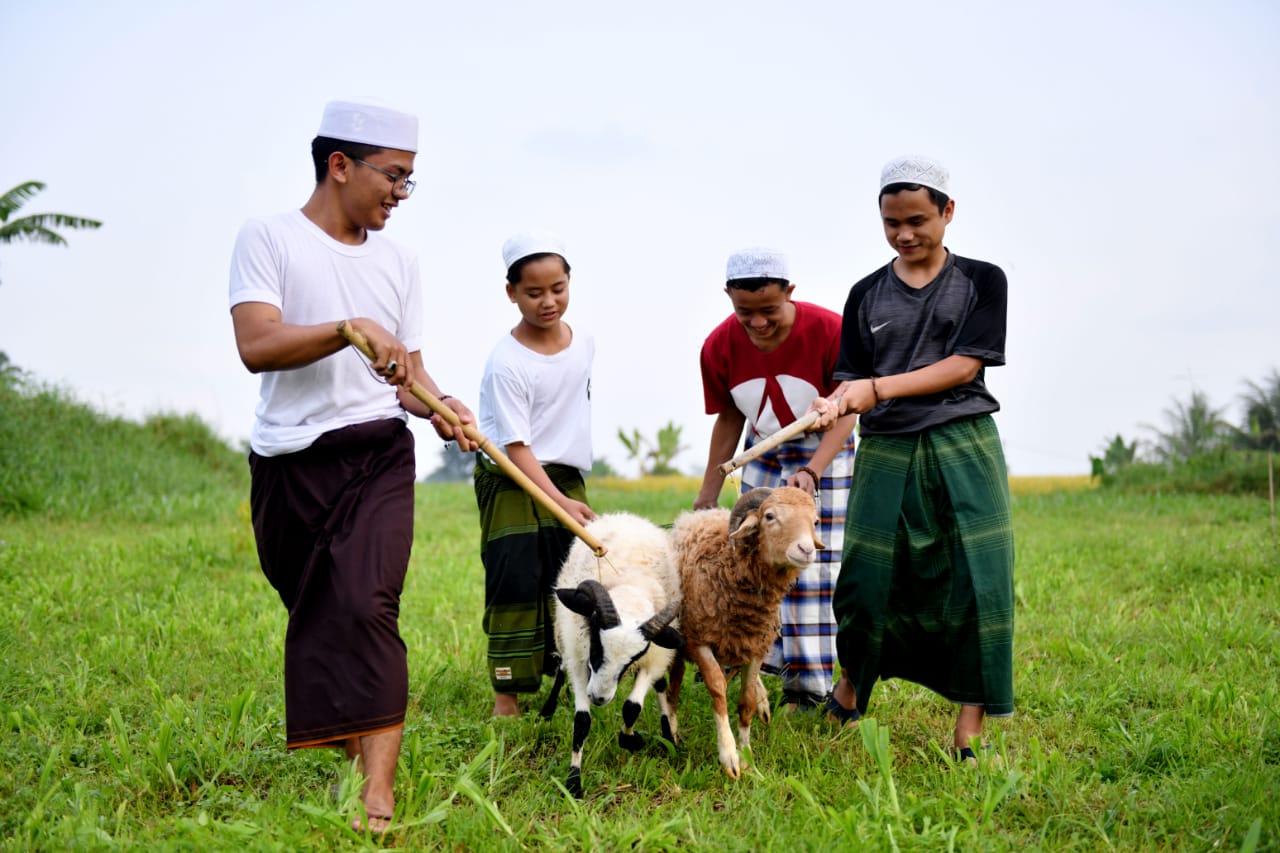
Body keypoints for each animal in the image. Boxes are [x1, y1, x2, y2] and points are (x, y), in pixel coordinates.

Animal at [540, 512, 680, 799]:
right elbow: (582, 721)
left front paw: (631, 740)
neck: (630, 588)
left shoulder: (653, 656)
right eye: (596, 641)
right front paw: (574, 782)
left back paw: (668, 737)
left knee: (660, 685)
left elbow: (632, 707)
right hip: (564, 636)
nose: (599, 698)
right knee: (560, 668)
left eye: (634, 656)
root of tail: (626, 516)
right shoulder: (580, 659)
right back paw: (547, 711)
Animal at [665, 484, 824, 778]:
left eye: (815, 521)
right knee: (674, 685)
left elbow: (746, 701)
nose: (806, 549)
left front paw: (747, 757)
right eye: (770, 516)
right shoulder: (699, 641)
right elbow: (717, 690)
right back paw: (672, 730)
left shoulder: (755, 647)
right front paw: (729, 756)